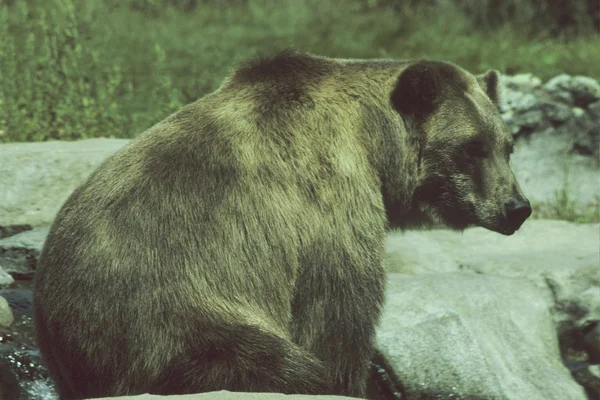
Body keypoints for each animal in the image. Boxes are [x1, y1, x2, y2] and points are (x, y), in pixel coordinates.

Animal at [32, 50, 528, 400]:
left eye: (508, 145)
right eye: (471, 147)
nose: (517, 207)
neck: (373, 145)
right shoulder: (326, 204)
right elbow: (336, 316)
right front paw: (346, 382)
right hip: (174, 321)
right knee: (265, 365)